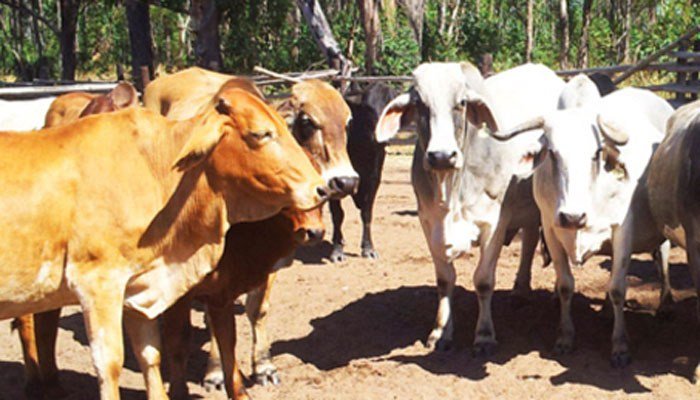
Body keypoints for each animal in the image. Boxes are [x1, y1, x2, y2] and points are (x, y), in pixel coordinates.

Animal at [0, 87, 328, 400]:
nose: (320, 189)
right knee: (31, 323)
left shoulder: (145, 286)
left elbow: (155, 352)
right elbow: (118, 361)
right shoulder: (99, 284)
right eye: (261, 134)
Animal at [329, 83, 397, 261]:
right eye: (368, 108)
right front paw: (337, 250)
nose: (382, 136)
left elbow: (366, 212)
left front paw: (368, 248)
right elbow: (338, 215)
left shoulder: (373, 178)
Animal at [375, 62, 565, 355]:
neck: (451, 188)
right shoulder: (428, 222)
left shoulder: (495, 223)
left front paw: (484, 335)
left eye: (461, 103)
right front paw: (441, 332)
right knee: (530, 239)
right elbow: (444, 280)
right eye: (419, 103)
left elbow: (484, 281)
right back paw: (520, 290)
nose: (442, 156)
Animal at [489, 75, 674, 356]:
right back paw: (607, 311)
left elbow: (619, 288)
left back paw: (664, 304)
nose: (573, 217)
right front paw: (565, 337)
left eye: (596, 153)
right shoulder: (551, 229)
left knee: (661, 257)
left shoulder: (623, 229)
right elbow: (566, 285)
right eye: (553, 153)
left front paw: (620, 345)